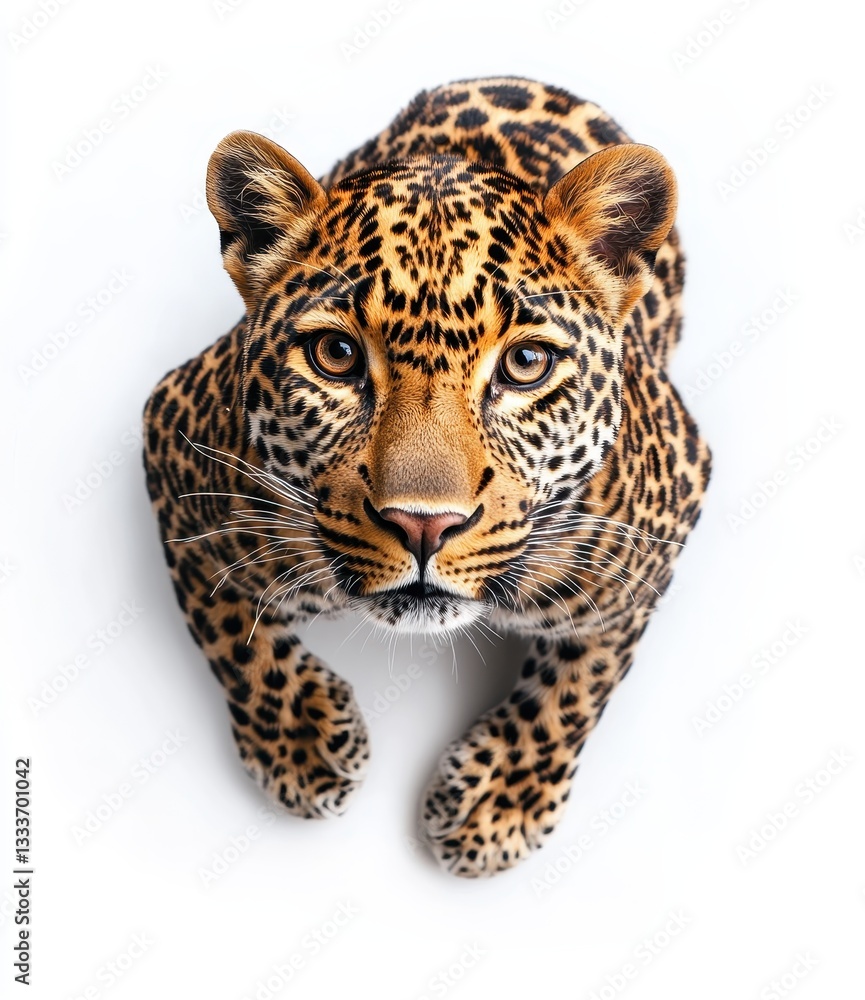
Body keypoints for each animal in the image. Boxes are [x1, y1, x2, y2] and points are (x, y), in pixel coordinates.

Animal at [142, 76, 711, 878]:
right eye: (336, 356)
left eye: (526, 363)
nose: (423, 524)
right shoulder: (176, 451)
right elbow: (232, 632)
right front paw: (302, 742)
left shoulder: (659, 530)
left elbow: (578, 686)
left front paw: (500, 801)